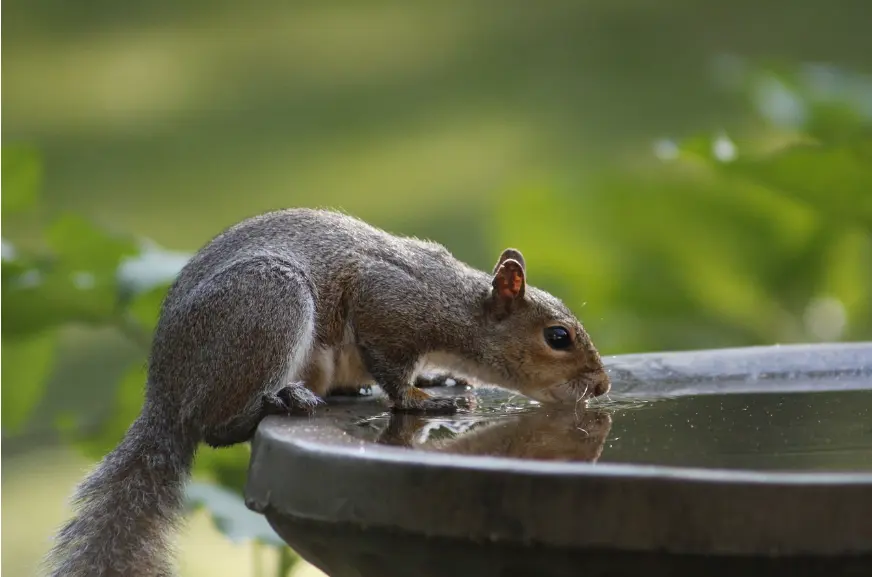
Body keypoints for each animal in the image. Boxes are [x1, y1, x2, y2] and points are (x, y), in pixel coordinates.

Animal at [44, 208, 608, 576]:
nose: (602, 386)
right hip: (268, 305)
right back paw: (278, 402)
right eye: (558, 337)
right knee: (217, 426)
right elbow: (393, 376)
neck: (456, 306)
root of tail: (164, 391)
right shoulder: (386, 305)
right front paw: (423, 398)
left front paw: (437, 379)